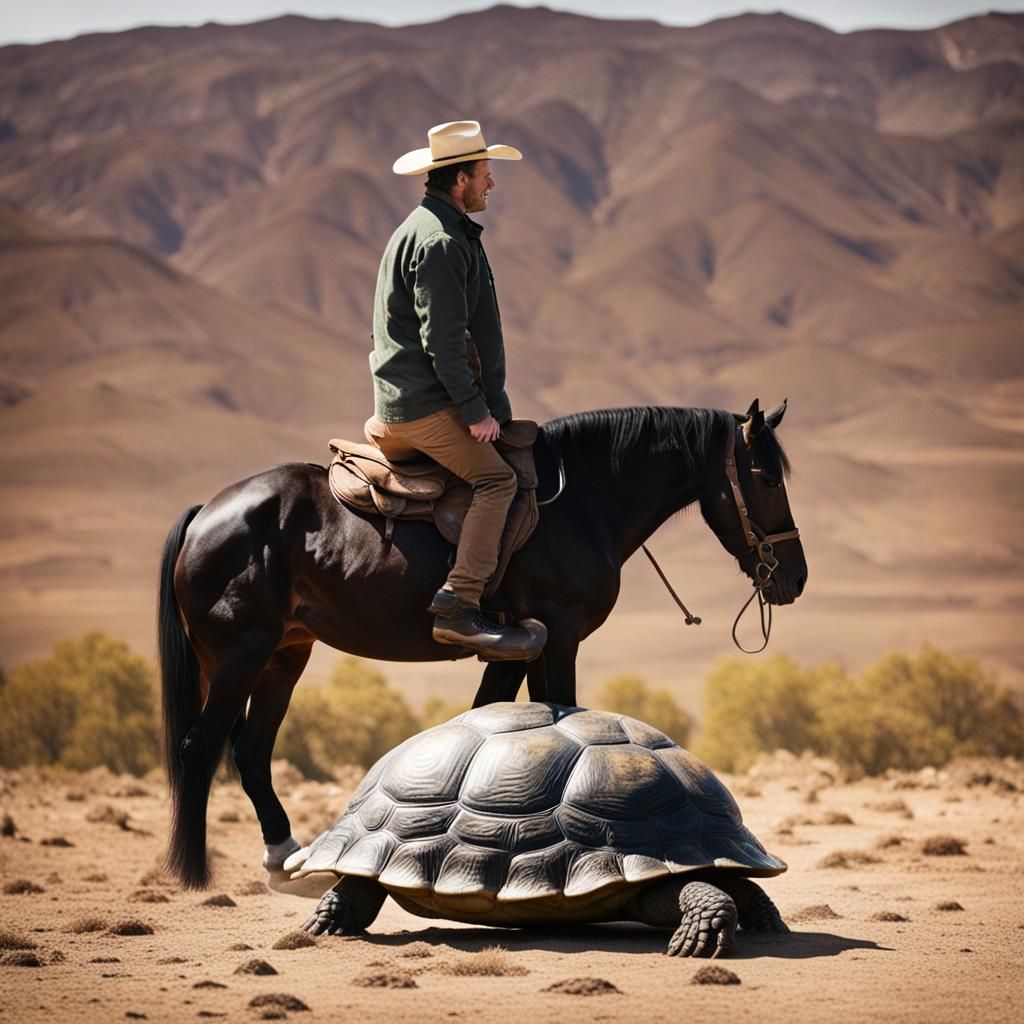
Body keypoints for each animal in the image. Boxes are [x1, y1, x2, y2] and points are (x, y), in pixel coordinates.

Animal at [159, 400, 807, 888]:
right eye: (768, 478)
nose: (795, 578)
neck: (585, 501)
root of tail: (207, 512)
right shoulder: (557, 635)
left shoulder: (511, 648)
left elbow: (483, 724)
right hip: (240, 657)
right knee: (200, 748)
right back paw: (194, 875)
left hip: (284, 656)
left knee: (249, 753)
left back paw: (285, 860)